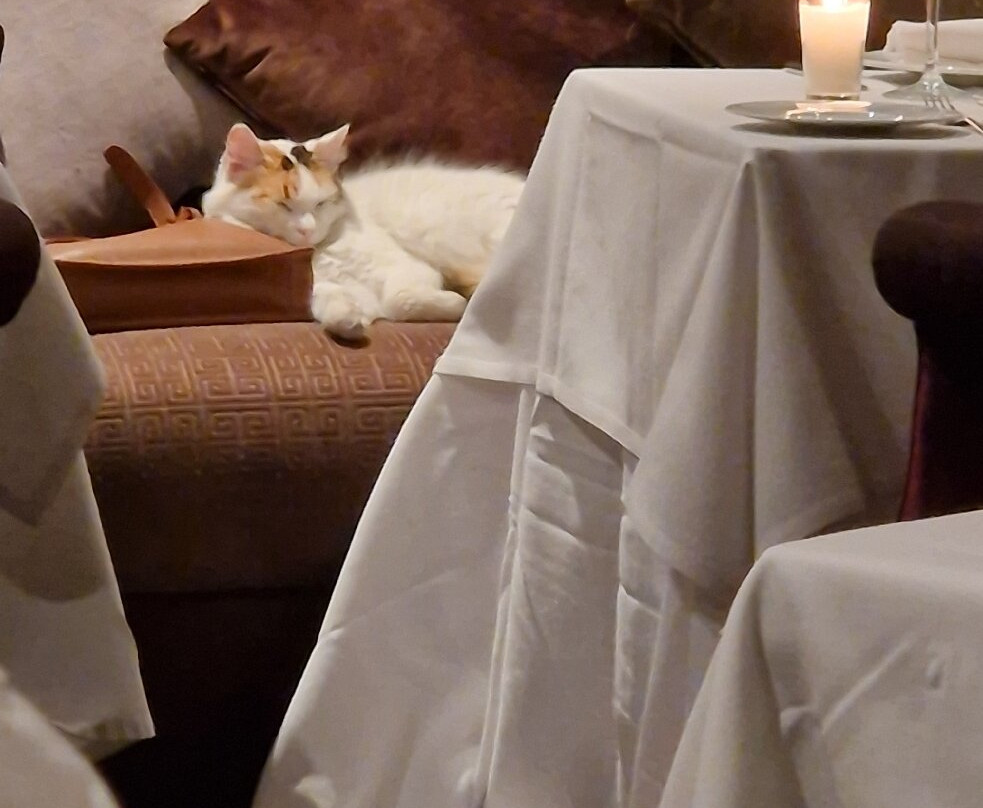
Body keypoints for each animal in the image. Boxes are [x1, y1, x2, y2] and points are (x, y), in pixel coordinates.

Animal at [202, 123, 525, 339]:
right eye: (284, 205)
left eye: (320, 203)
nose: (308, 230)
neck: (317, 254)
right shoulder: (322, 288)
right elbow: (331, 303)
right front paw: (348, 320)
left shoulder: (411, 268)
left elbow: (399, 300)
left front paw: (456, 304)